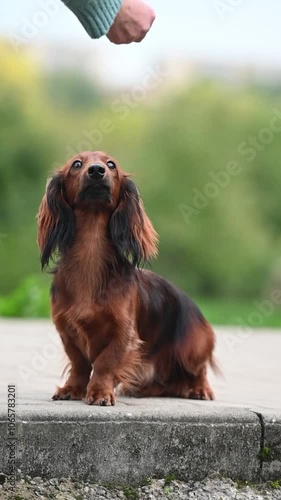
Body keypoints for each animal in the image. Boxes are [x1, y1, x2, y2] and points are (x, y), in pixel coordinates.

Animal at [37, 150, 215, 404]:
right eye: (77, 164)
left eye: (111, 164)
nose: (96, 170)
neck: (90, 255)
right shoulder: (67, 331)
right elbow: (79, 363)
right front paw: (72, 388)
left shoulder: (124, 334)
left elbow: (104, 362)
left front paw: (100, 392)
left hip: (193, 348)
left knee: (198, 370)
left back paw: (200, 389)